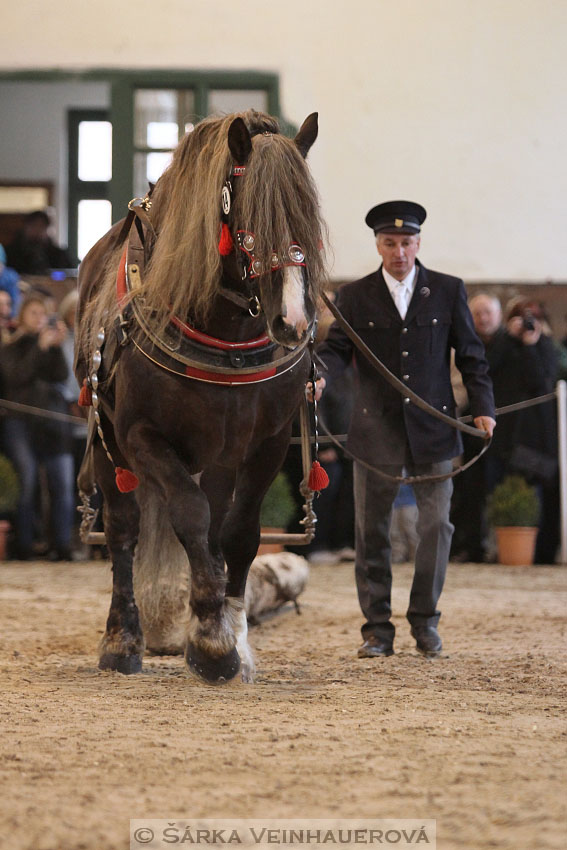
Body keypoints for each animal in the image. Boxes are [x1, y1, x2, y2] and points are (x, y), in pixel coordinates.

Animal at [74, 111, 328, 684]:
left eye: (307, 213)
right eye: (252, 214)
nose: (292, 322)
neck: (224, 332)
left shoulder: (265, 444)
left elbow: (237, 533)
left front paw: (228, 636)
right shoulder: (141, 437)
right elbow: (189, 516)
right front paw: (213, 643)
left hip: (217, 454)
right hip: (107, 443)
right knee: (124, 530)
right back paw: (122, 640)